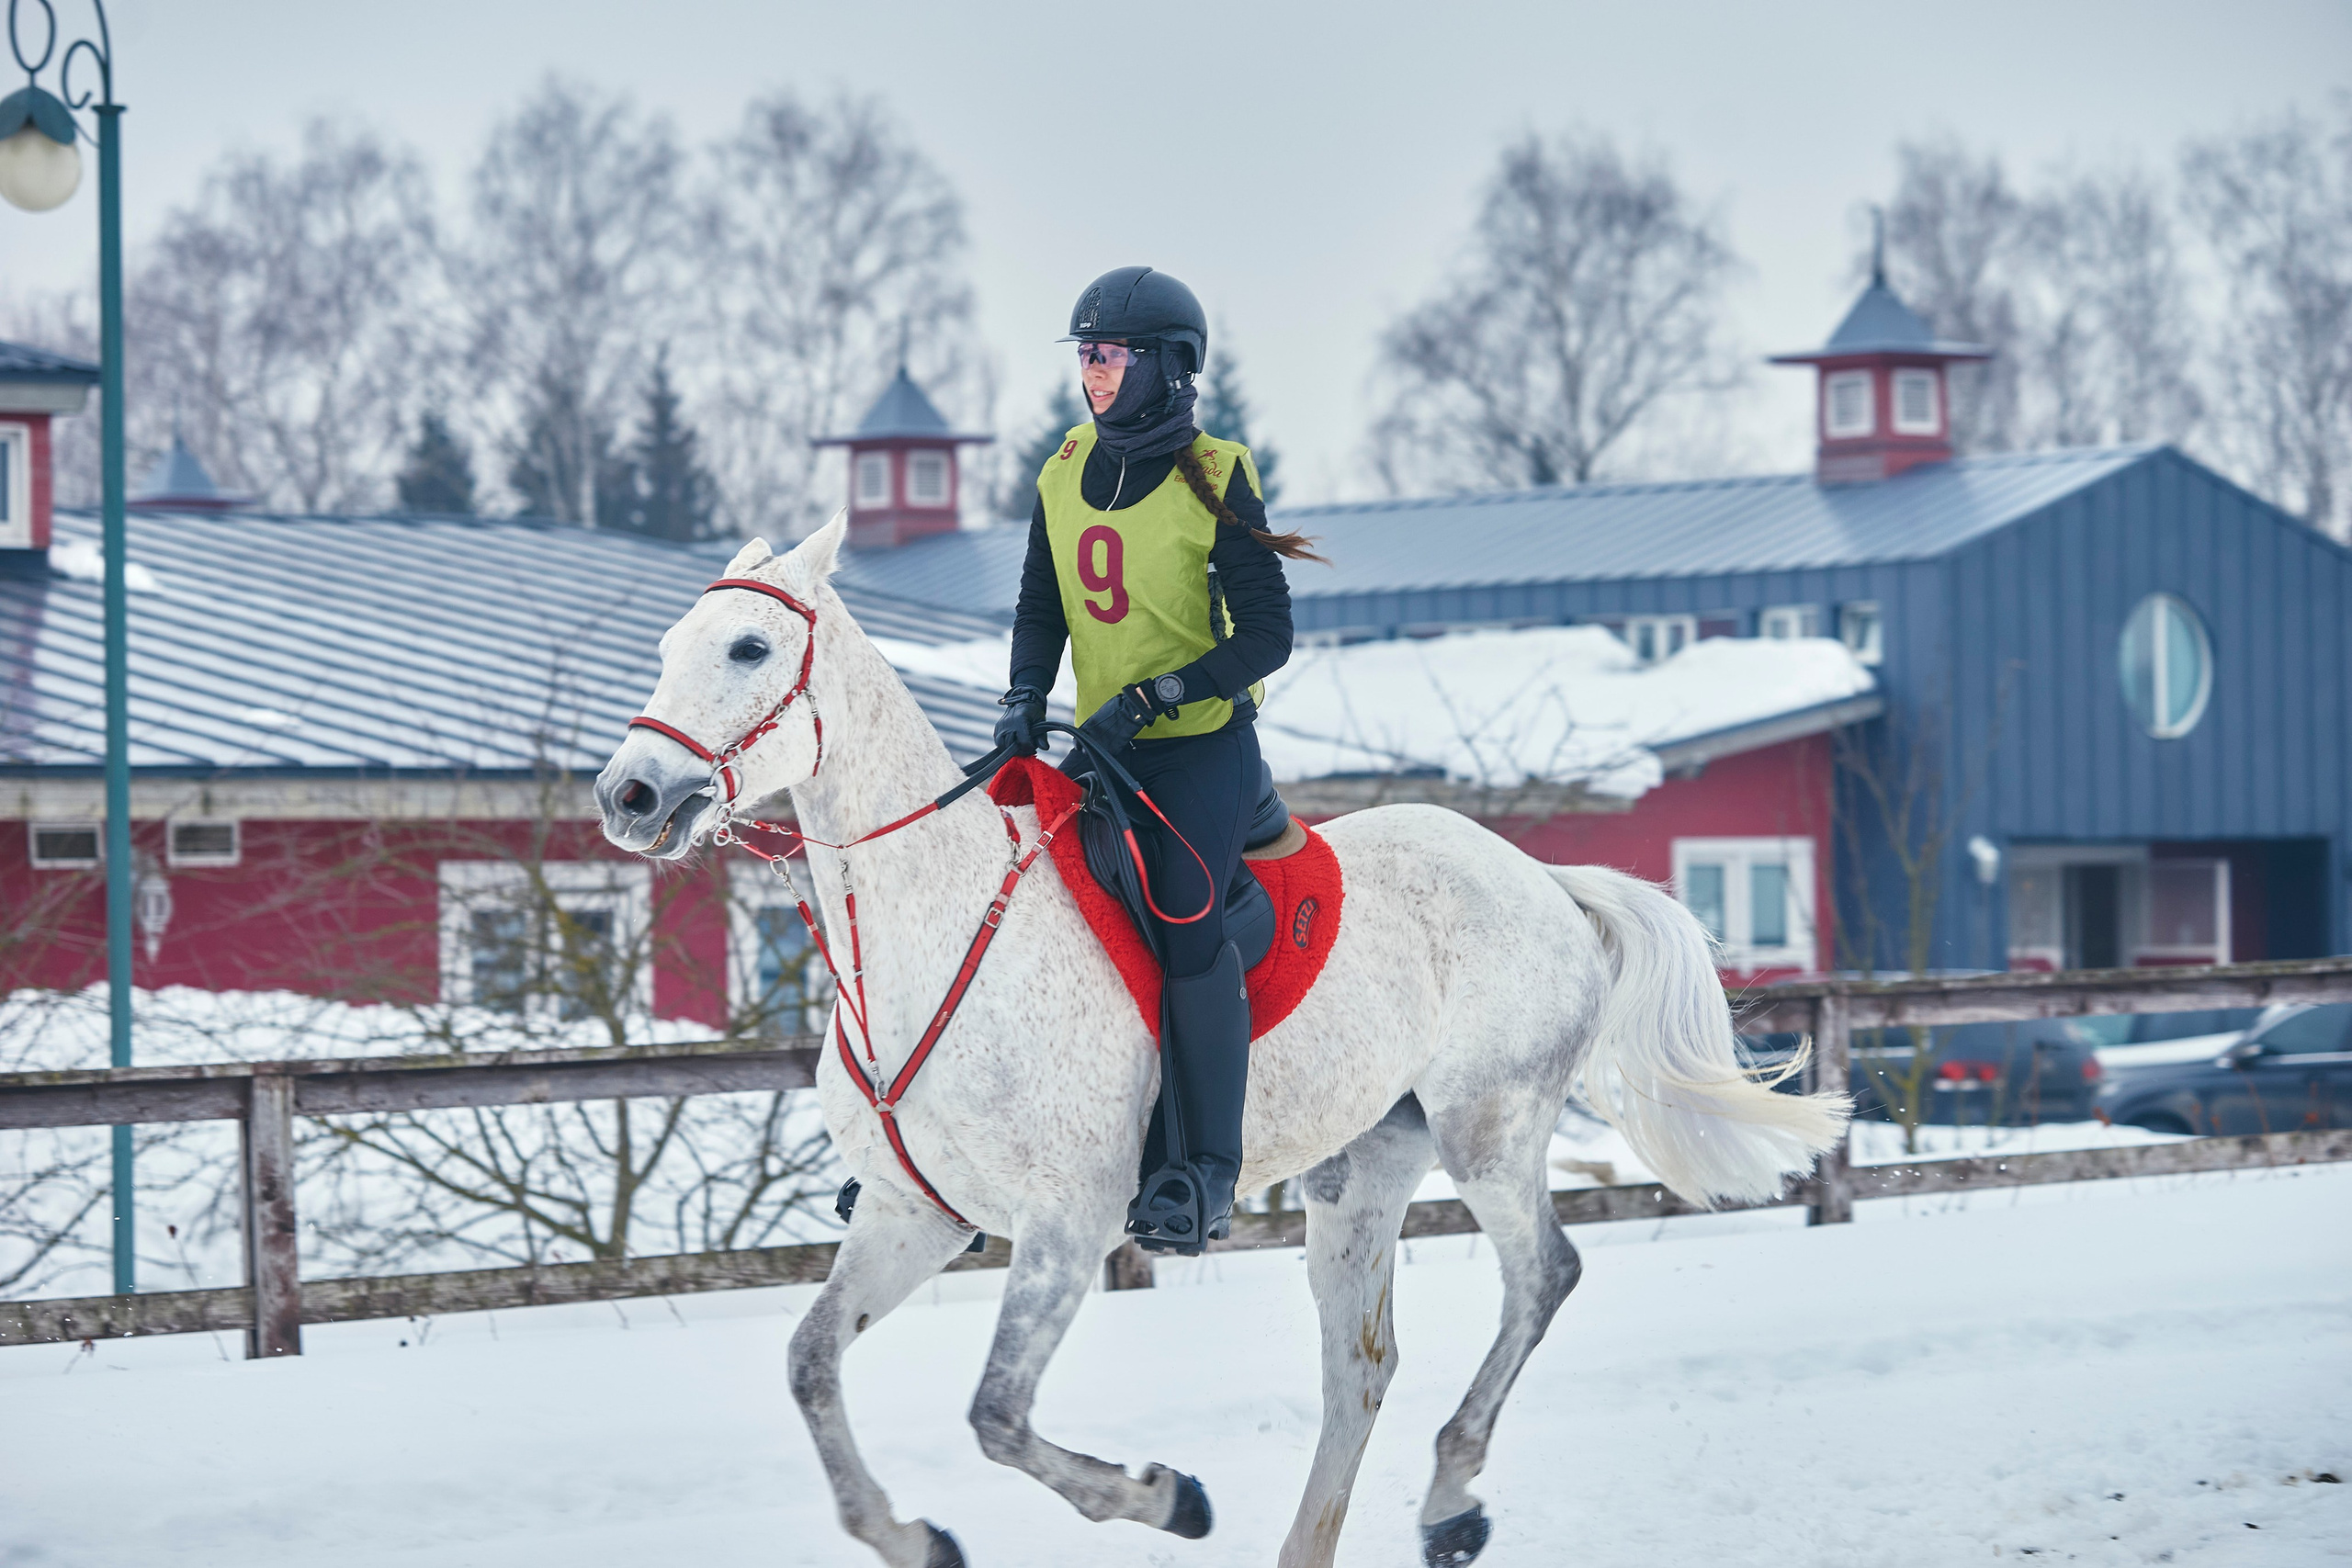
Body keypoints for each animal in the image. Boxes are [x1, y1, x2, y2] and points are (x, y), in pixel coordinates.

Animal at [595, 513, 1850, 1568]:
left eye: (749, 647)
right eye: (664, 646)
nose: (631, 795)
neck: (935, 931)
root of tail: (1541, 875)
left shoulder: (1066, 1227)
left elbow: (997, 1415)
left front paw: (1166, 1498)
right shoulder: (914, 1218)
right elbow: (810, 1366)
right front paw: (912, 1539)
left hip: (1489, 1130)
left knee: (1543, 1276)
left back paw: (1451, 1501)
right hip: (1362, 1169)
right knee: (1361, 1369)